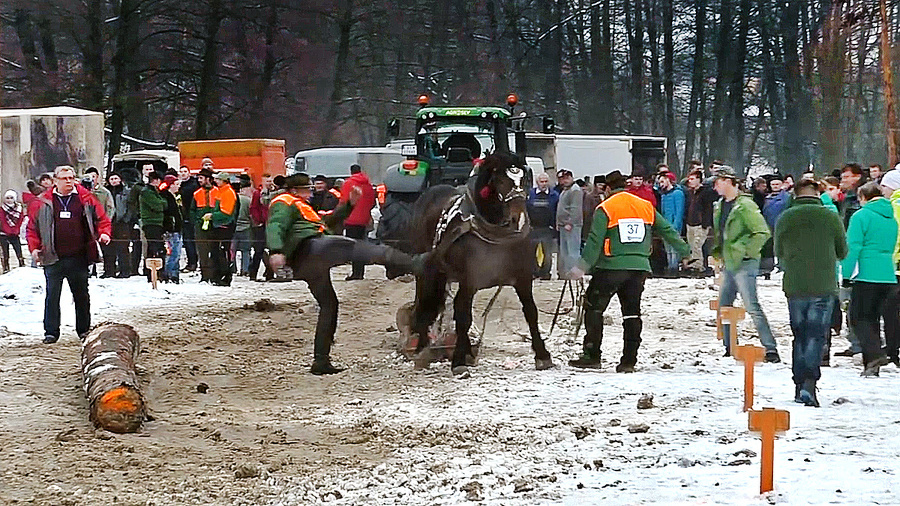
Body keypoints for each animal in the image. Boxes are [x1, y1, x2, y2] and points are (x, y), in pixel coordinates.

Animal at [410, 152, 552, 374]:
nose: (518, 218)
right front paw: (459, 360)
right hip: (429, 270)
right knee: (427, 301)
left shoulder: (522, 277)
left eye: (525, 180)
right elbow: (463, 316)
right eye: (500, 180)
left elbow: (531, 312)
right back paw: (422, 347)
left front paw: (542, 355)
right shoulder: (469, 280)